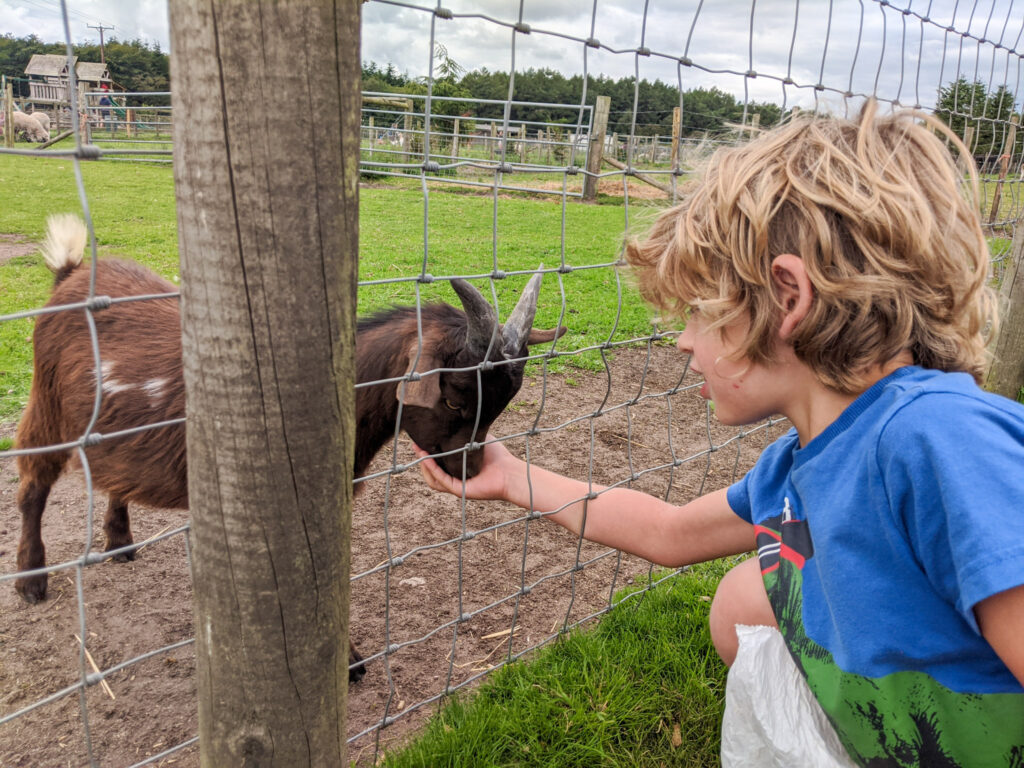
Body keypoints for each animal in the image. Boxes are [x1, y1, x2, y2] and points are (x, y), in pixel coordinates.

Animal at [12, 214, 565, 684]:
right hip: (49, 403)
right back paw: (31, 579)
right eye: (453, 396)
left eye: (500, 405)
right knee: (33, 482)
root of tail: (69, 275)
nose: (468, 470)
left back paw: (120, 542)